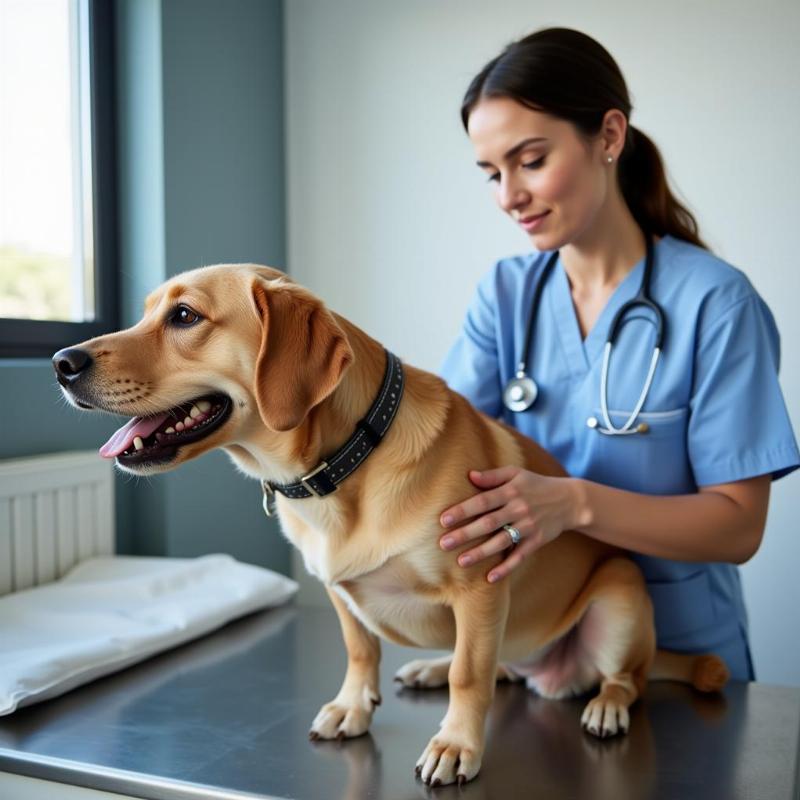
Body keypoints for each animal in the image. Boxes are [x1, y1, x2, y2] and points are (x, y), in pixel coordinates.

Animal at [54, 264, 732, 788]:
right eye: (147, 313)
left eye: (185, 317)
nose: (62, 360)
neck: (347, 462)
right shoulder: (339, 590)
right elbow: (364, 650)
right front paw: (354, 706)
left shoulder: (480, 586)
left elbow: (469, 675)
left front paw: (457, 745)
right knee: (502, 666)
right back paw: (431, 668)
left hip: (621, 595)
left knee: (621, 677)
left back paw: (606, 705)